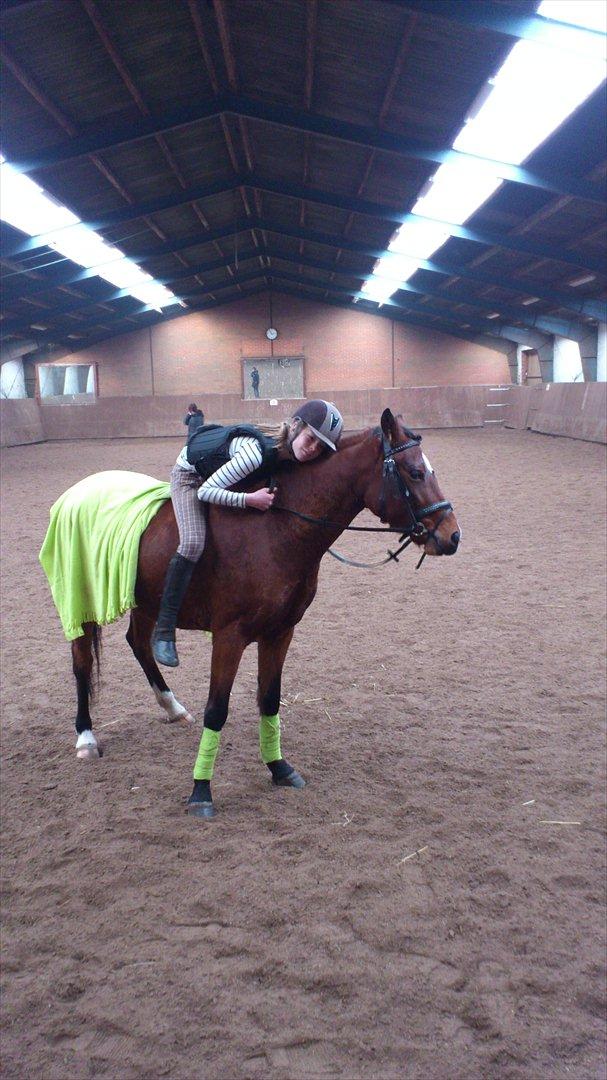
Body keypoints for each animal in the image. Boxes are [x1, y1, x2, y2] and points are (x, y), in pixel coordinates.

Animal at [68, 409, 460, 817]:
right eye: (415, 472)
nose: (452, 535)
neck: (276, 528)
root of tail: (82, 489)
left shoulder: (280, 631)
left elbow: (270, 700)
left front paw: (279, 767)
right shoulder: (229, 636)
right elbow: (217, 710)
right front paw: (201, 790)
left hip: (146, 601)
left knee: (139, 644)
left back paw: (172, 706)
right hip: (82, 599)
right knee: (82, 662)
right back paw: (86, 736)